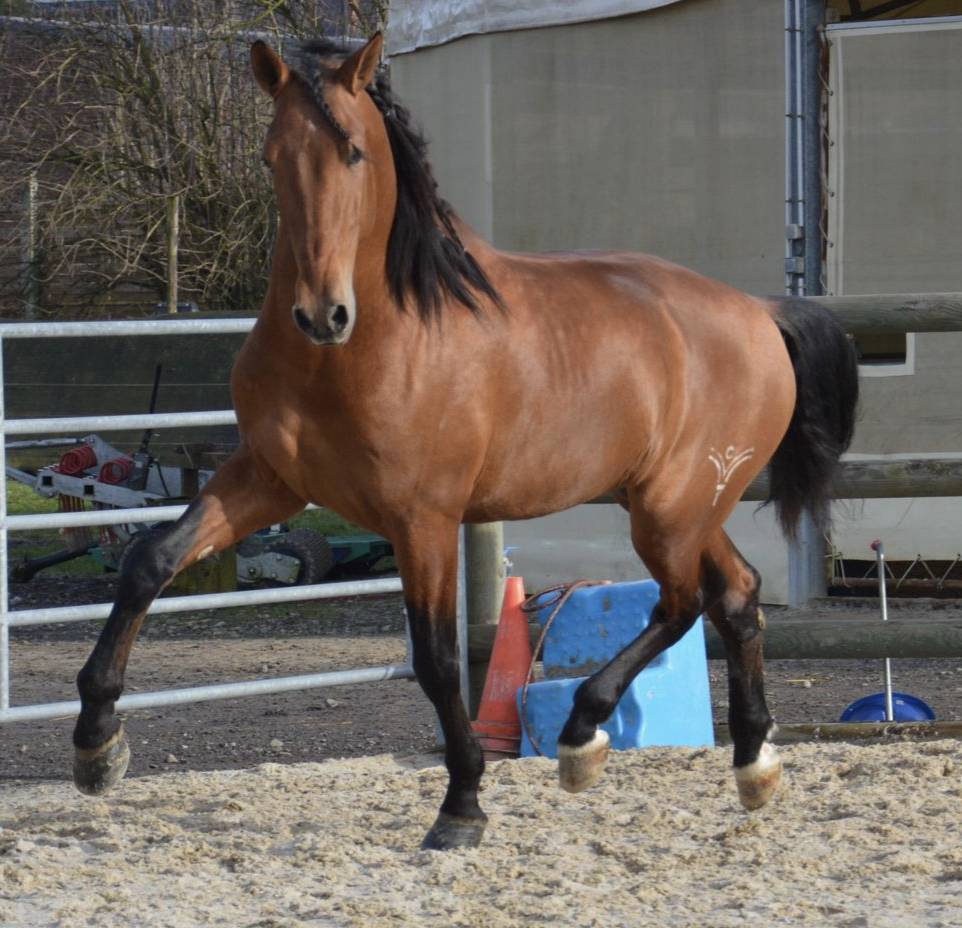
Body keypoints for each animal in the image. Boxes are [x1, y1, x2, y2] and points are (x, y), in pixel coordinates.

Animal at [71, 33, 859, 851]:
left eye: (354, 152)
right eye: (271, 155)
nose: (322, 313)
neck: (371, 344)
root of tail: (760, 313)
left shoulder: (423, 518)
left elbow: (439, 659)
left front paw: (462, 806)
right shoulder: (268, 480)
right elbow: (149, 560)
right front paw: (98, 746)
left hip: (671, 508)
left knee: (683, 602)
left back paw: (582, 739)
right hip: (682, 504)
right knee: (735, 594)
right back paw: (750, 764)